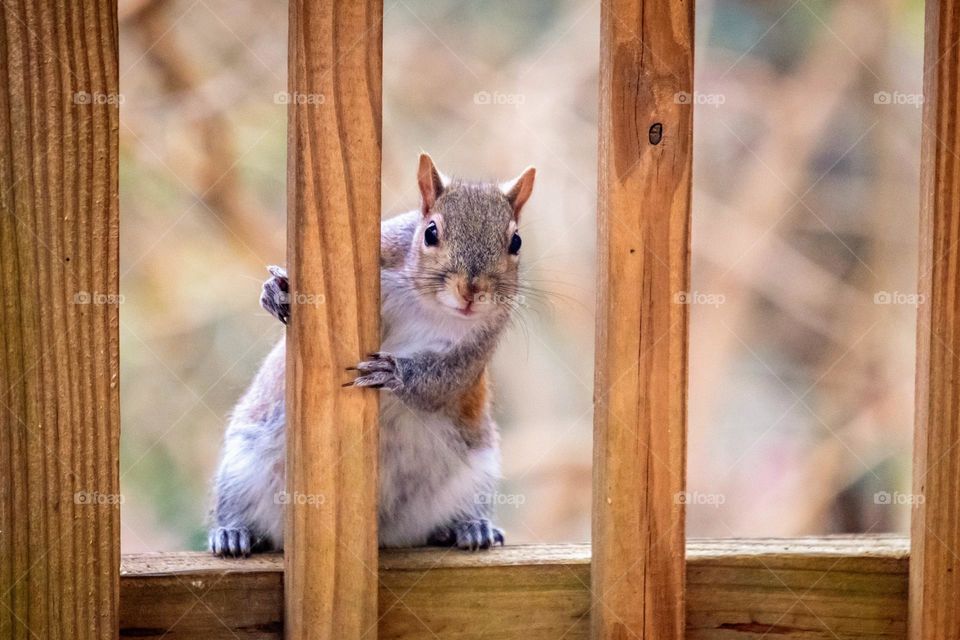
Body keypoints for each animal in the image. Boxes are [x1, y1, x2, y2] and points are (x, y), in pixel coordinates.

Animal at [210, 154, 536, 556]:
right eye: (430, 233)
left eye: (516, 242)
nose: (471, 291)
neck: (430, 305)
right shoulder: (386, 246)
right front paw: (276, 290)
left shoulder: (477, 346)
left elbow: (441, 382)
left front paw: (393, 373)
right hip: (243, 468)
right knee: (239, 509)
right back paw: (233, 532)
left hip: (476, 475)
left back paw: (469, 527)